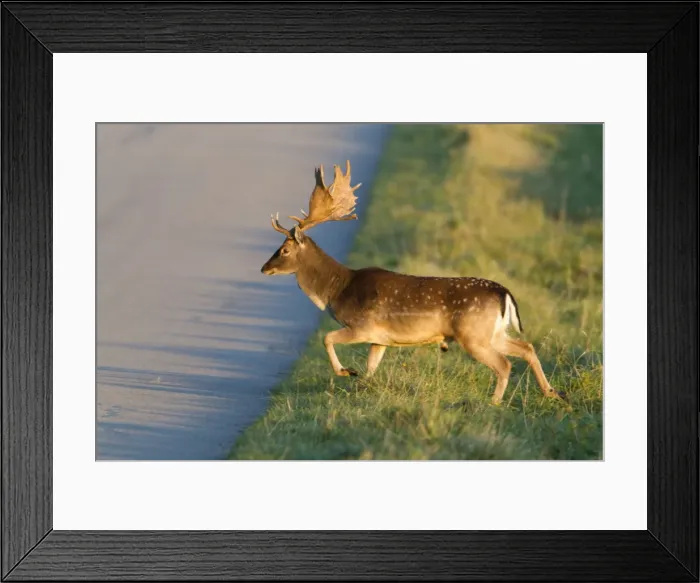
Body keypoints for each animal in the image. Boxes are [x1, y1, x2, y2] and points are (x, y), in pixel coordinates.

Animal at [260, 160, 567, 405]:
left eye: (284, 250)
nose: (264, 268)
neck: (337, 291)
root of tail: (505, 293)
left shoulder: (363, 326)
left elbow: (327, 338)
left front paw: (346, 371)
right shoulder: (380, 339)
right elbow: (371, 368)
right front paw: (361, 384)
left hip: (473, 334)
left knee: (504, 365)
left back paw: (493, 403)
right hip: (493, 333)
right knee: (527, 348)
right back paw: (552, 393)